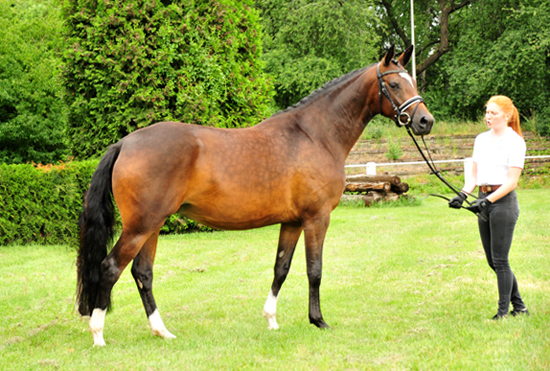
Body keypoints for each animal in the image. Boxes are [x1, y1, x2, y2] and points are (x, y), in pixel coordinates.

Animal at [76, 45, 436, 346]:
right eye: (394, 85)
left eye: (411, 82)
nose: (425, 121)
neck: (315, 135)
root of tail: (125, 143)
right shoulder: (317, 218)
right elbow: (314, 270)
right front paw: (318, 320)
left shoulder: (292, 222)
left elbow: (282, 268)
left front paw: (271, 319)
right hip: (140, 226)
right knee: (110, 268)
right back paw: (98, 334)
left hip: (151, 225)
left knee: (142, 274)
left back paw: (161, 331)